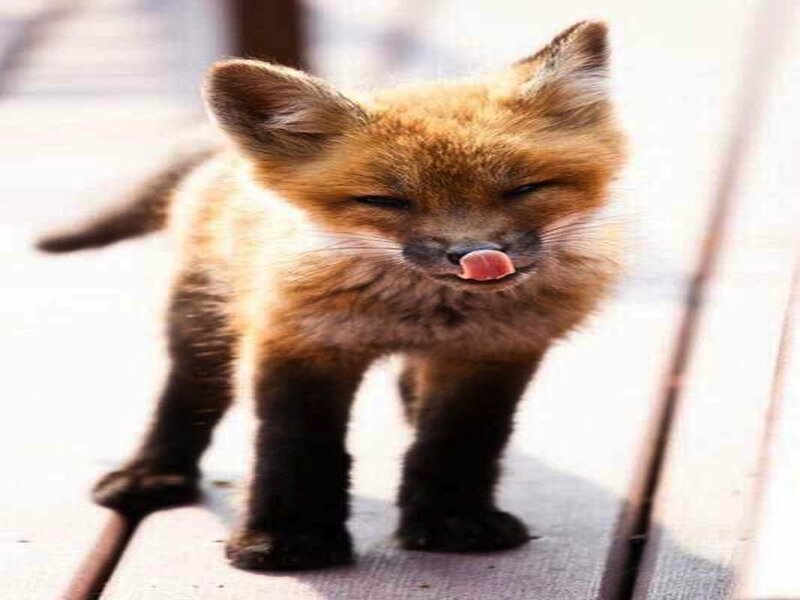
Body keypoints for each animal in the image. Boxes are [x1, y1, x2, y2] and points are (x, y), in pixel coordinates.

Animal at [38, 21, 626, 571]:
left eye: (524, 189)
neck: (421, 314)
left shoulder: (491, 353)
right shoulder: (300, 342)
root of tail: (223, 153)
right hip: (202, 319)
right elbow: (296, 447)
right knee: (186, 395)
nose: (476, 253)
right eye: (386, 201)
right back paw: (153, 471)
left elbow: (455, 442)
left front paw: (450, 520)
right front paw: (287, 539)